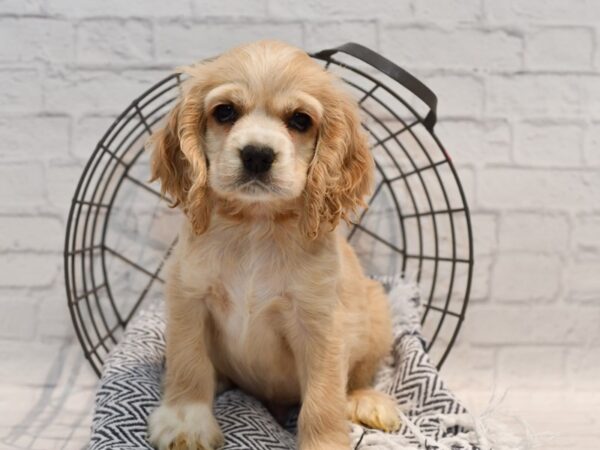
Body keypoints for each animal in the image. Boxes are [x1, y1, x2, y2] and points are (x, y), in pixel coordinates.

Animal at [146, 39, 398, 450]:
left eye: (300, 120)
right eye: (225, 111)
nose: (257, 154)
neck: (255, 225)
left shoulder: (320, 322)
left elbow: (323, 397)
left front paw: (325, 443)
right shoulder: (188, 297)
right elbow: (189, 362)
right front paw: (186, 422)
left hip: (377, 314)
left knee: (357, 378)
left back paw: (367, 401)